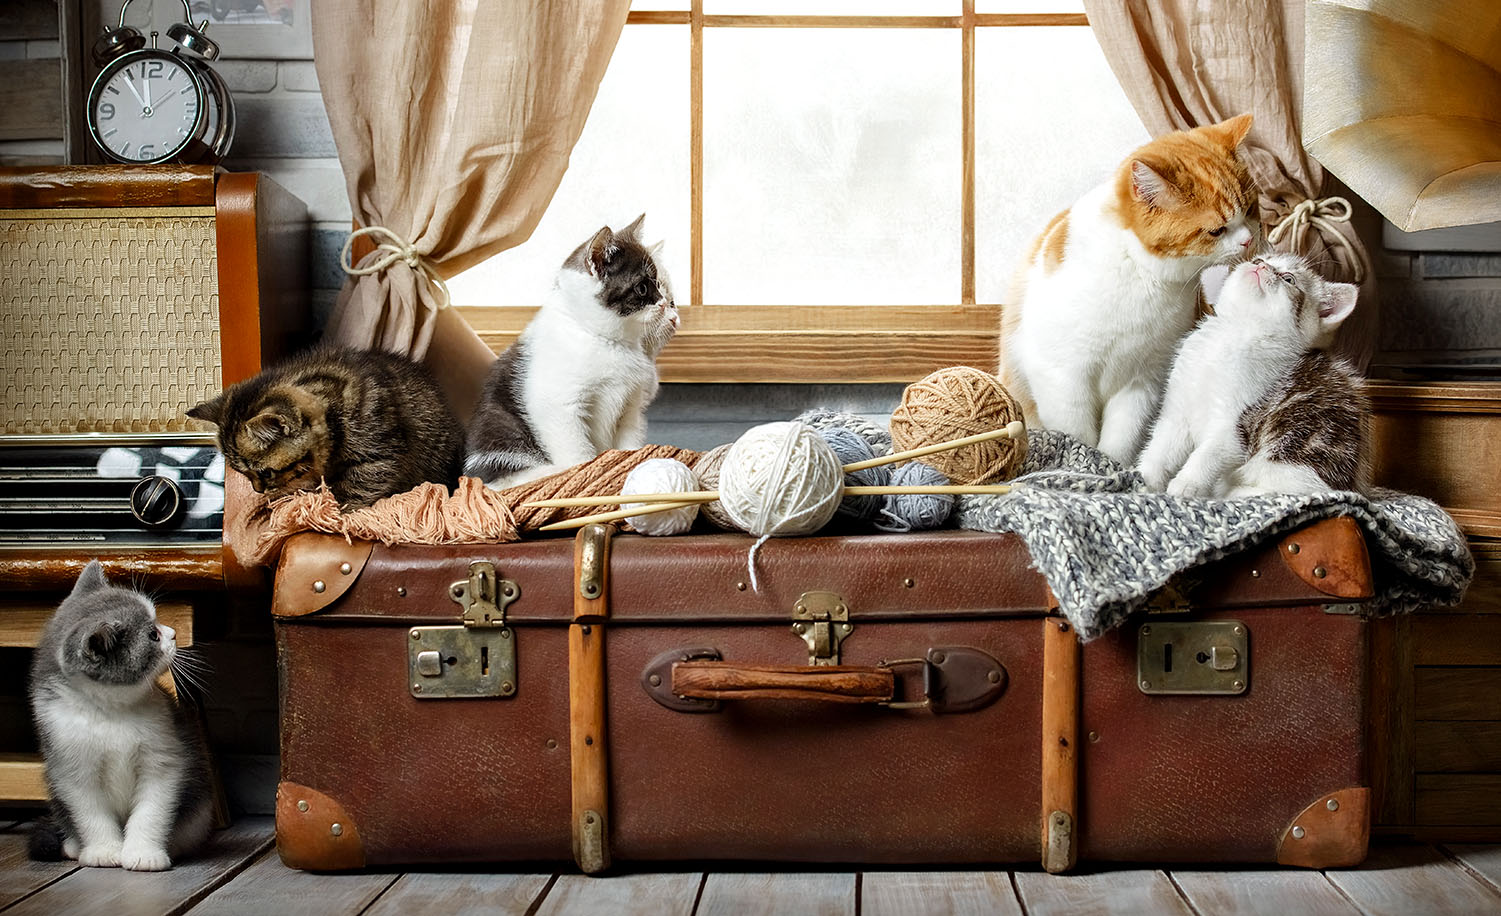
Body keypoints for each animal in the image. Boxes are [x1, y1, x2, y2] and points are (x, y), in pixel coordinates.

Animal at [27, 558, 214, 864]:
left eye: (157, 621)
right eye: (153, 635)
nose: (174, 633)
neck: (110, 711)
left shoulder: (164, 755)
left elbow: (152, 809)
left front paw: (144, 853)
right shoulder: (70, 761)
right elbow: (90, 812)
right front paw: (103, 850)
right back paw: (73, 845)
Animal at [465, 214, 684, 489]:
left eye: (663, 291)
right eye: (643, 288)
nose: (666, 306)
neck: (605, 341)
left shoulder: (631, 408)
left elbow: (629, 444)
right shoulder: (558, 406)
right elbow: (577, 454)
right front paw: (583, 476)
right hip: (501, 433)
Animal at [1002, 112, 1260, 462]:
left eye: (1251, 209)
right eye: (1216, 231)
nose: (1248, 239)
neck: (1142, 276)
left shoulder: (1143, 382)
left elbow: (1121, 440)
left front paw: (1113, 465)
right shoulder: (1062, 377)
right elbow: (1076, 432)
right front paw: (1083, 460)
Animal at [1134, 250, 1374, 498]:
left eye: (1289, 279)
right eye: (1260, 259)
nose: (1261, 266)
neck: (1236, 330)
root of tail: (1354, 487)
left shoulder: (1236, 422)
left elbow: (1210, 452)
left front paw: (1187, 483)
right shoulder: (1178, 409)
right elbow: (1161, 447)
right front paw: (1145, 478)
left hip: (1298, 452)